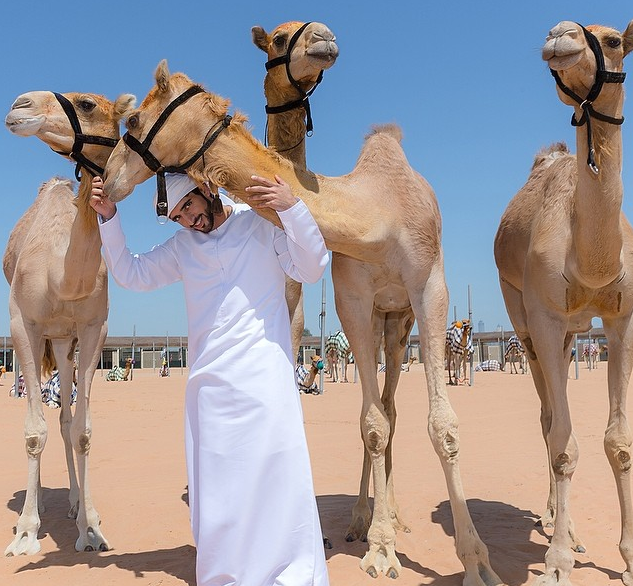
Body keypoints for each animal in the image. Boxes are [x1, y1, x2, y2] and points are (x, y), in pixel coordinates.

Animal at [3, 90, 134, 552]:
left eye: (87, 103)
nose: (19, 105)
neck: (61, 275)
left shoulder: (95, 329)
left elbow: (81, 430)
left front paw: (91, 528)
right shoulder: (23, 324)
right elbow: (32, 431)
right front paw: (26, 532)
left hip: (63, 341)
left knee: (64, 418)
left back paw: (75, 501)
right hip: (46, 336)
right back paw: (37, 504)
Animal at [101, 60, 502, 584]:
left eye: (132, 121)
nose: (106, 176)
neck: (378, 217)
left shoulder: (431, 285)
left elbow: (443, 426)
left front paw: (476, 561)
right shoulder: (353, 299)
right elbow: (372, 424)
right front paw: (380, 548)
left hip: (400, 319)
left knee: (395, 401)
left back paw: (395, 516)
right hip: (379, 317)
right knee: (383, 412)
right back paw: (366, 519)